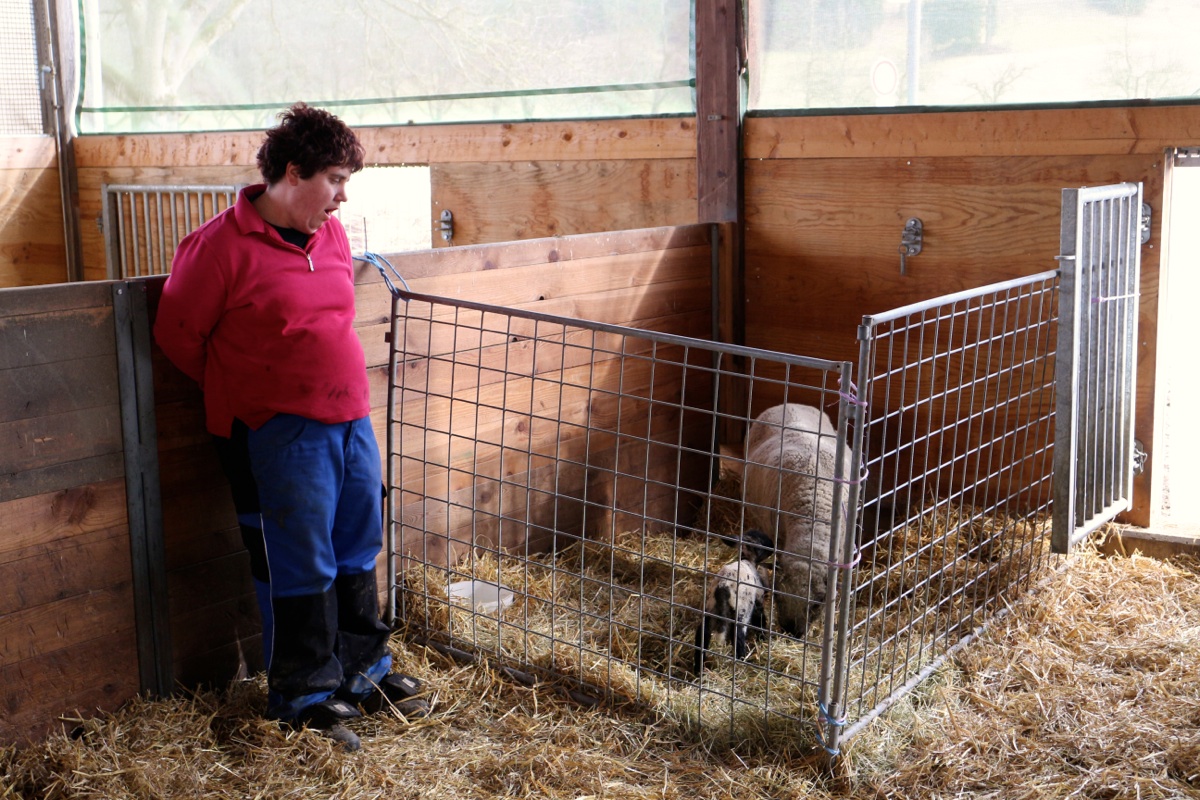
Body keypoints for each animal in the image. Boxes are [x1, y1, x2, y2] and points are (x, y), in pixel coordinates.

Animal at [692, 528, 774, 675]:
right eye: (762, 541)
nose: (772, 545)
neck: (747, 560)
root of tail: (723, 587)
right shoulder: (758, 599)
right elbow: (760, 620)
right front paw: (762, 639)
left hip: (710, 608)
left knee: (702, 634)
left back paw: (698, 669)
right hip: (742, 611)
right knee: (738, 637)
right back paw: (742, 663)